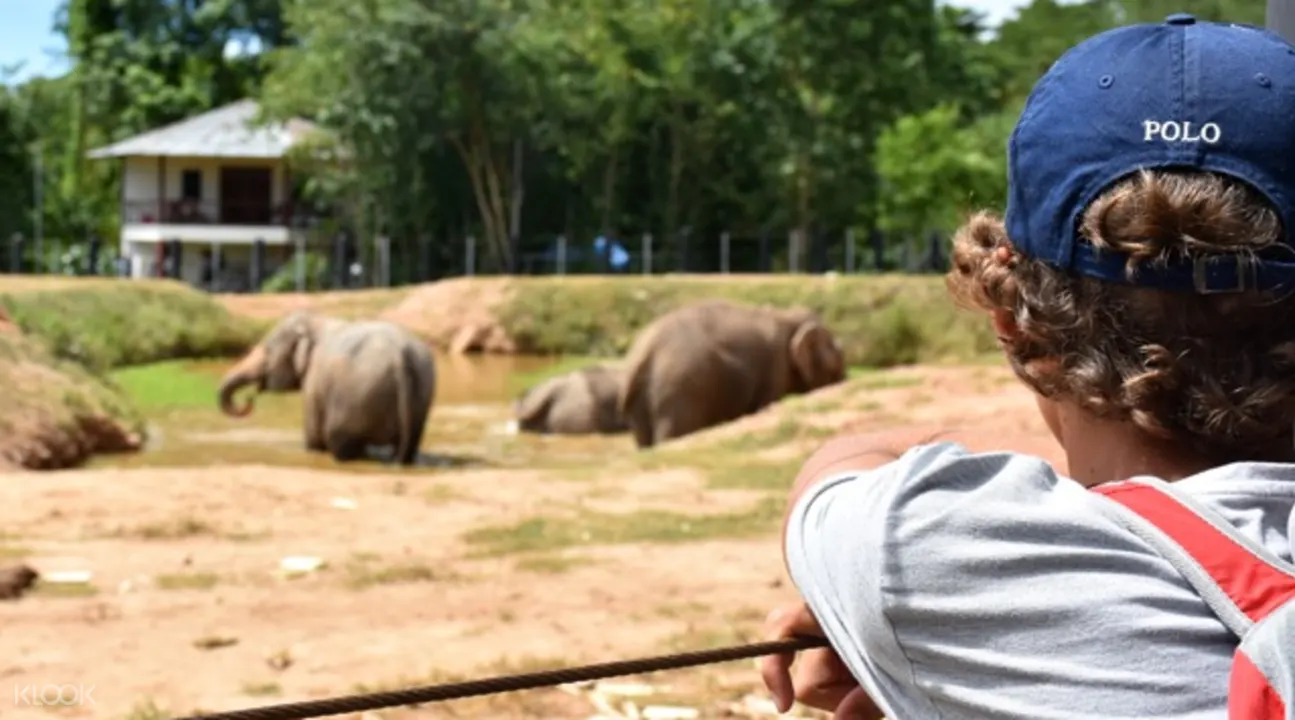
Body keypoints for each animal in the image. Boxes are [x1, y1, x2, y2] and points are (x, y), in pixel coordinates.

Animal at [217, 310, 437, 465]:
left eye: (268, 351)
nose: (249, 398)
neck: (315, 320)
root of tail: (400, 355)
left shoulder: (314, 382)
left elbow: (313, 438)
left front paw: (313, 449)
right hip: (420, 390)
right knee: (408, 445)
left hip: (358, 395)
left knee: (341, 441)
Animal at [618, 299, 847, 449]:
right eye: (838, 359)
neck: (788, 314)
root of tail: (644, 351)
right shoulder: (776, 366)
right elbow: (768, 402)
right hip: (678, 389)